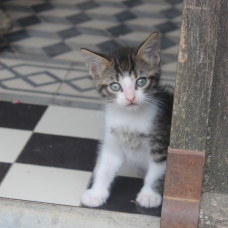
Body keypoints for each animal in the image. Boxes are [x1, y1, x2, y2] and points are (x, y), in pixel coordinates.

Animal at [80, 32, 173, 208]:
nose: (130, 98)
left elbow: (157, 171)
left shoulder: (161, 143)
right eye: (115, 86)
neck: (130, 117)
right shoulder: (112, 142)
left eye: (141, 81)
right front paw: (96, 194)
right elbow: (105, 168)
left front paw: (149, 195)